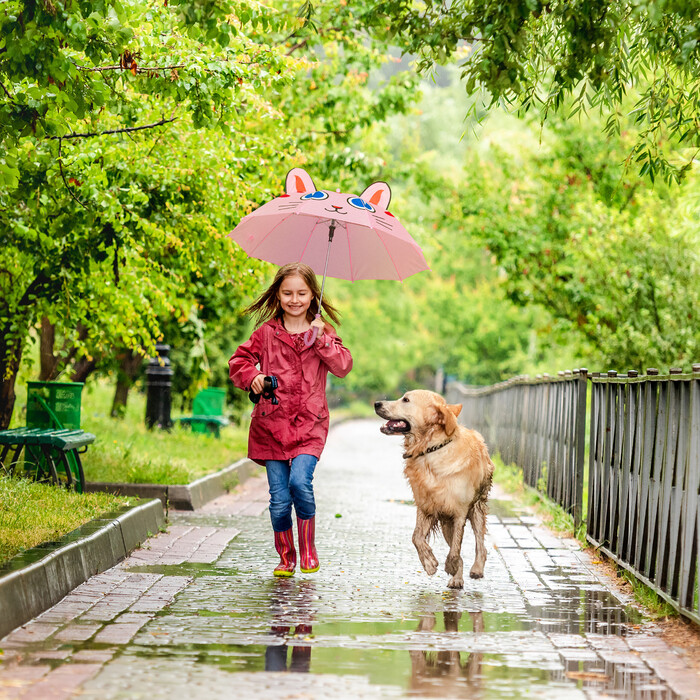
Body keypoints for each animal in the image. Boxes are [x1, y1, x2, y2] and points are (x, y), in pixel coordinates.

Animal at [374, 392, 494, 588]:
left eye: (406, 400)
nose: (377, 403)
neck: (430, 450)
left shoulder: (459, 511)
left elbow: (456, 548)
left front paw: (450, 565)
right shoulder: (426, 507)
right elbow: (416, 537)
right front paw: (430, 563)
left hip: (477, 508)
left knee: (480, 544)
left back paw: (476, 569)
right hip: (446, 522)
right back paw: (457, 578)